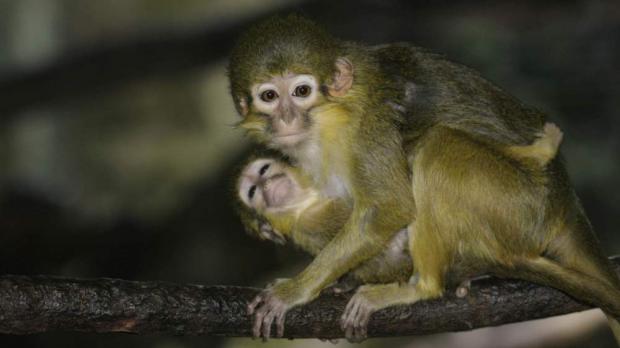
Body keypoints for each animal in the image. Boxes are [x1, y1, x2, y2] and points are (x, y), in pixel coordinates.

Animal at [229, 14, 620, 342]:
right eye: (268, 96)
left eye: (301, 91)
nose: (287, 119)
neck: (328, 120)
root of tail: (564, 203)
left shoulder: (367, 124)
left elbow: (390, 208)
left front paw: (294, 292)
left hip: (523, 208)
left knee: (434, 148)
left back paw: (424, 287)